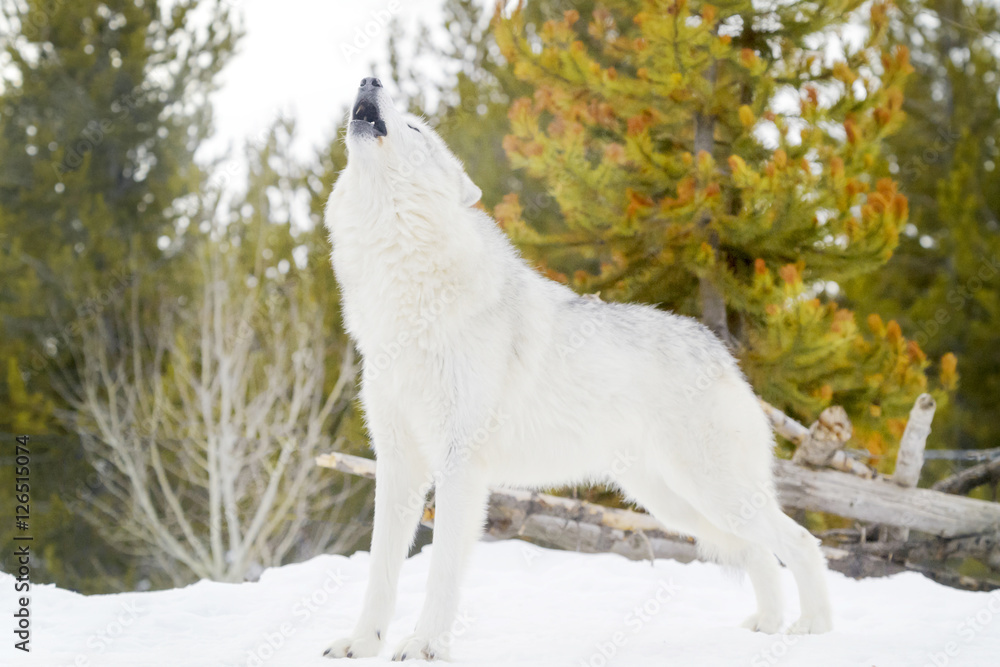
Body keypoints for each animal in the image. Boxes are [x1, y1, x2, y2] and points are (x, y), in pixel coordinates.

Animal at [322, 77, 832, 661]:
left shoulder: (460, 465)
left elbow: (443, 572)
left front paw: (426, 646)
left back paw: (814, 628)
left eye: (415, 128)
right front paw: (362, 645)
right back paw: (766, 627)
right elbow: (381, 571)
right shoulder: (397, 463)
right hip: (678, 506)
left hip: (714, 496)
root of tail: (721, 353)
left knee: (801, 542)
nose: (369, 80)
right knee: (758, 554)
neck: (404, 302)